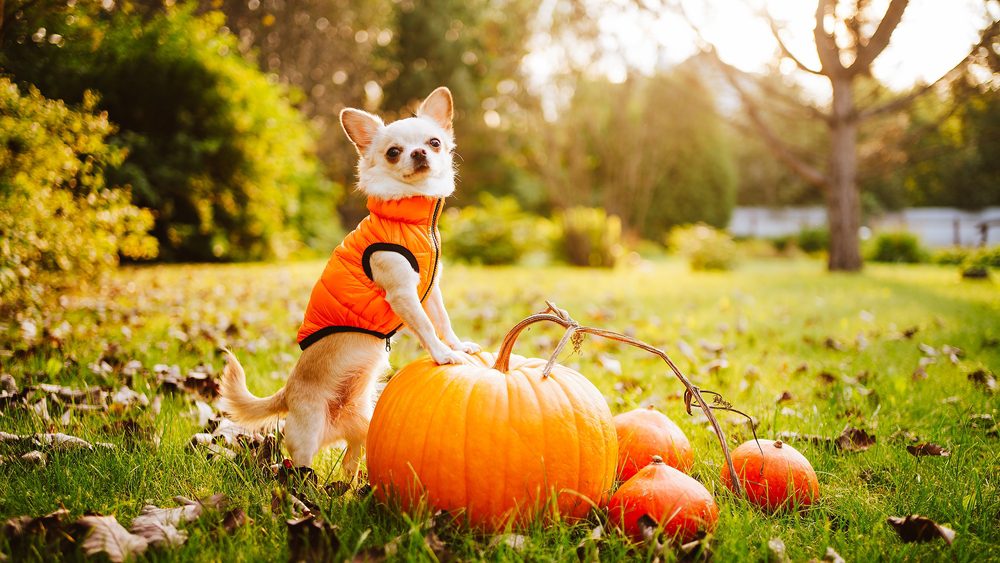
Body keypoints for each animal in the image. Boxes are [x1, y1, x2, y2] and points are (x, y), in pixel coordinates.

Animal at [218, 88, 480, 474]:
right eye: (393, 152)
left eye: (434, 143)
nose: (419, 153)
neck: (412, 219)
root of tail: (287, 390)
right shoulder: (403, 294)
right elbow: (426, 328)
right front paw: (445, 356)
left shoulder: (430, 291)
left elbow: (443, 321)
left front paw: (458, 346)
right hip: (307, 434)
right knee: (298, 467)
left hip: (364, 423)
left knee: (352, 454)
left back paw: (349, 483)